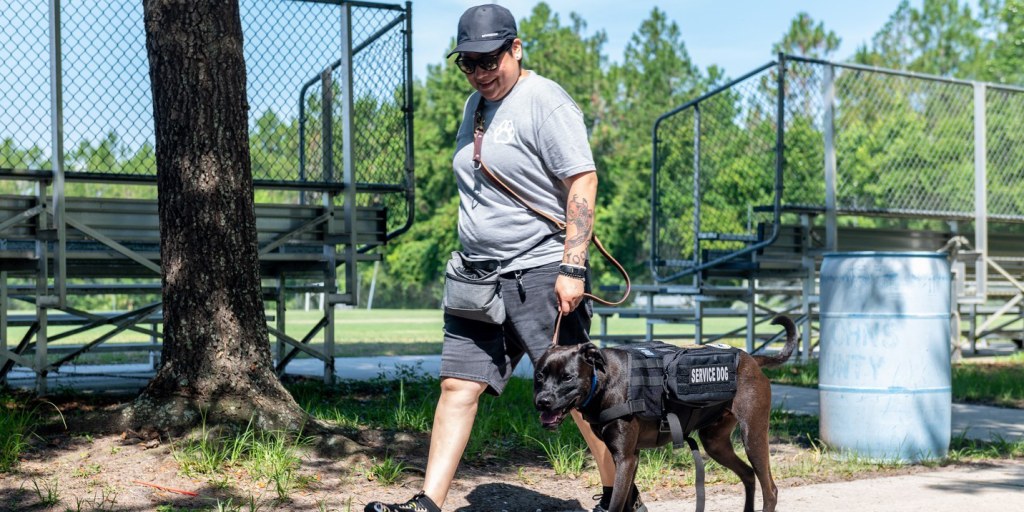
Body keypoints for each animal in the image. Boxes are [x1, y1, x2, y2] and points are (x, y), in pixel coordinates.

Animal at [536, 315, 798, 512]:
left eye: (567, 377)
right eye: (539, 376)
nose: (542, 402)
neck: (603, 380)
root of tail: (751, 358)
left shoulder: (625, 459)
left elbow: (617, 505)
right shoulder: (630, 458)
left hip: (753, 435)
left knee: (770, 490)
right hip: (715, 442)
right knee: (748, 474)